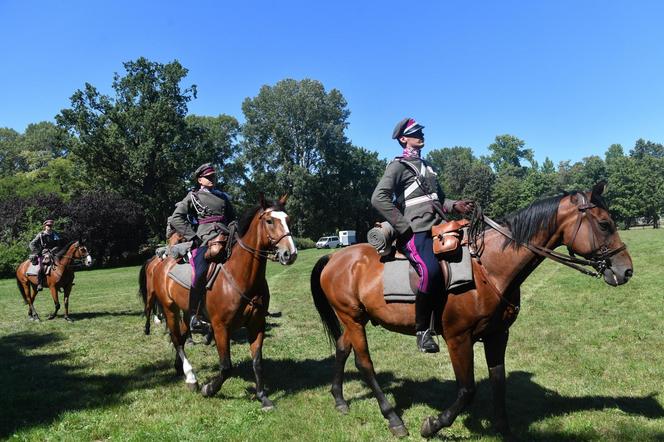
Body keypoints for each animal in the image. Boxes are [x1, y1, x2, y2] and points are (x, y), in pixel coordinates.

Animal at [143, 195, 298, 410]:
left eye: (288, 219)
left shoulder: (257, 324)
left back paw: (179, 367)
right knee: (176, 339)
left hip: (186, 311)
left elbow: (257, 362)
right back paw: (191, 377)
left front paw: (262, 397)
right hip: (169, 309)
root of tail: (161, 263)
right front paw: (209, 389)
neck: (241, 276)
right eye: (269, 221)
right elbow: (226, 367)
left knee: (181, 336)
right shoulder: (220, 327)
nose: (289, 254)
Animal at [310, 181, 632, 436]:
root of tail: (336, 257)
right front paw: (433, 425)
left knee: (342, 348)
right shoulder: (458, 339)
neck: (489, 267)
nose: (626, 270)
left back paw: (339, 400)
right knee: (364, 364)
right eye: (605, 224)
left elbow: (498, 381)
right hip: (353, 318)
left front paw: (502, 429)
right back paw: (393, 418)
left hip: (355, 319)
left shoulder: (497, 335)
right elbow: (467, 390)